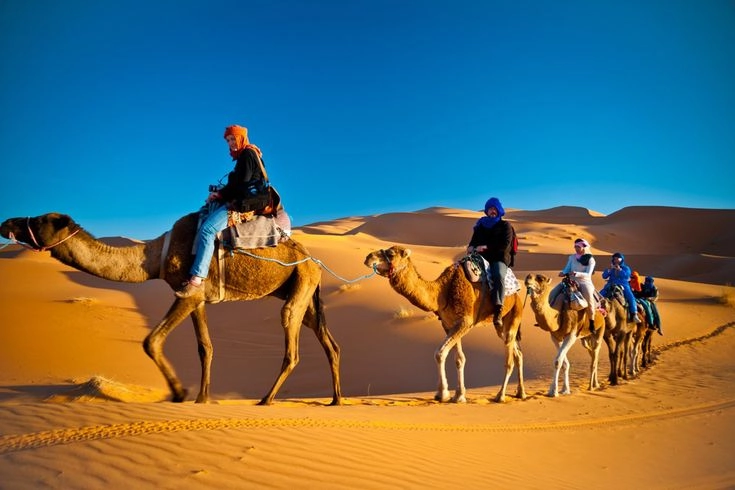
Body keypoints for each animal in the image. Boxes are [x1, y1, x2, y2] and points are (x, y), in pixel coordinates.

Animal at [0, 212, 342, 405]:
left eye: (39, 219)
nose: (6, 223)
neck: (153, 257)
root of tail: (314, 260)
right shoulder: (198, 297)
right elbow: (205, 347)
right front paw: (202, 398)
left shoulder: (187, 293)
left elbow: (151, 341)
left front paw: (179, 393)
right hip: (305, 292)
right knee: (329, 342)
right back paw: (336, 400)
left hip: (300, 284)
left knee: (292, 344)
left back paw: (266, 399)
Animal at [363, 245, 526, 403]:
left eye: (391, 254)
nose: (368, 257)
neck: (442, 292)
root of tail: (517, 294)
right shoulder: (450, 324)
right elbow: (459, 359)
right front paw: (459, 395)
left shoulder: (465, 322)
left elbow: (440, 353)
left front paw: (443, 394)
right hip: (500, 326)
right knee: (517, 353)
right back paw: (521, 393)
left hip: (514, 314)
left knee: (509, 359)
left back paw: (501, 396)